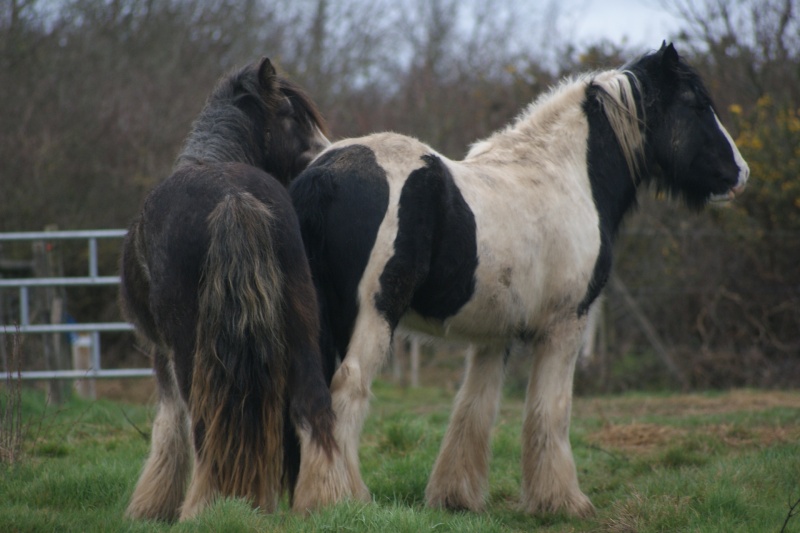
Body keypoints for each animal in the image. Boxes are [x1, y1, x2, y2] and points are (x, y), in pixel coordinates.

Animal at [120, 57, 346, 520]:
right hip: (300, 325)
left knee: (204, 425)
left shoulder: (159, 353)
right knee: (314, 405)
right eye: (291, 117)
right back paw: (324, 502)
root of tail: (233, 198)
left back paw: (202, 507)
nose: (327, 154)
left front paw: (153, 504)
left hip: (189, 348)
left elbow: (169, 424)